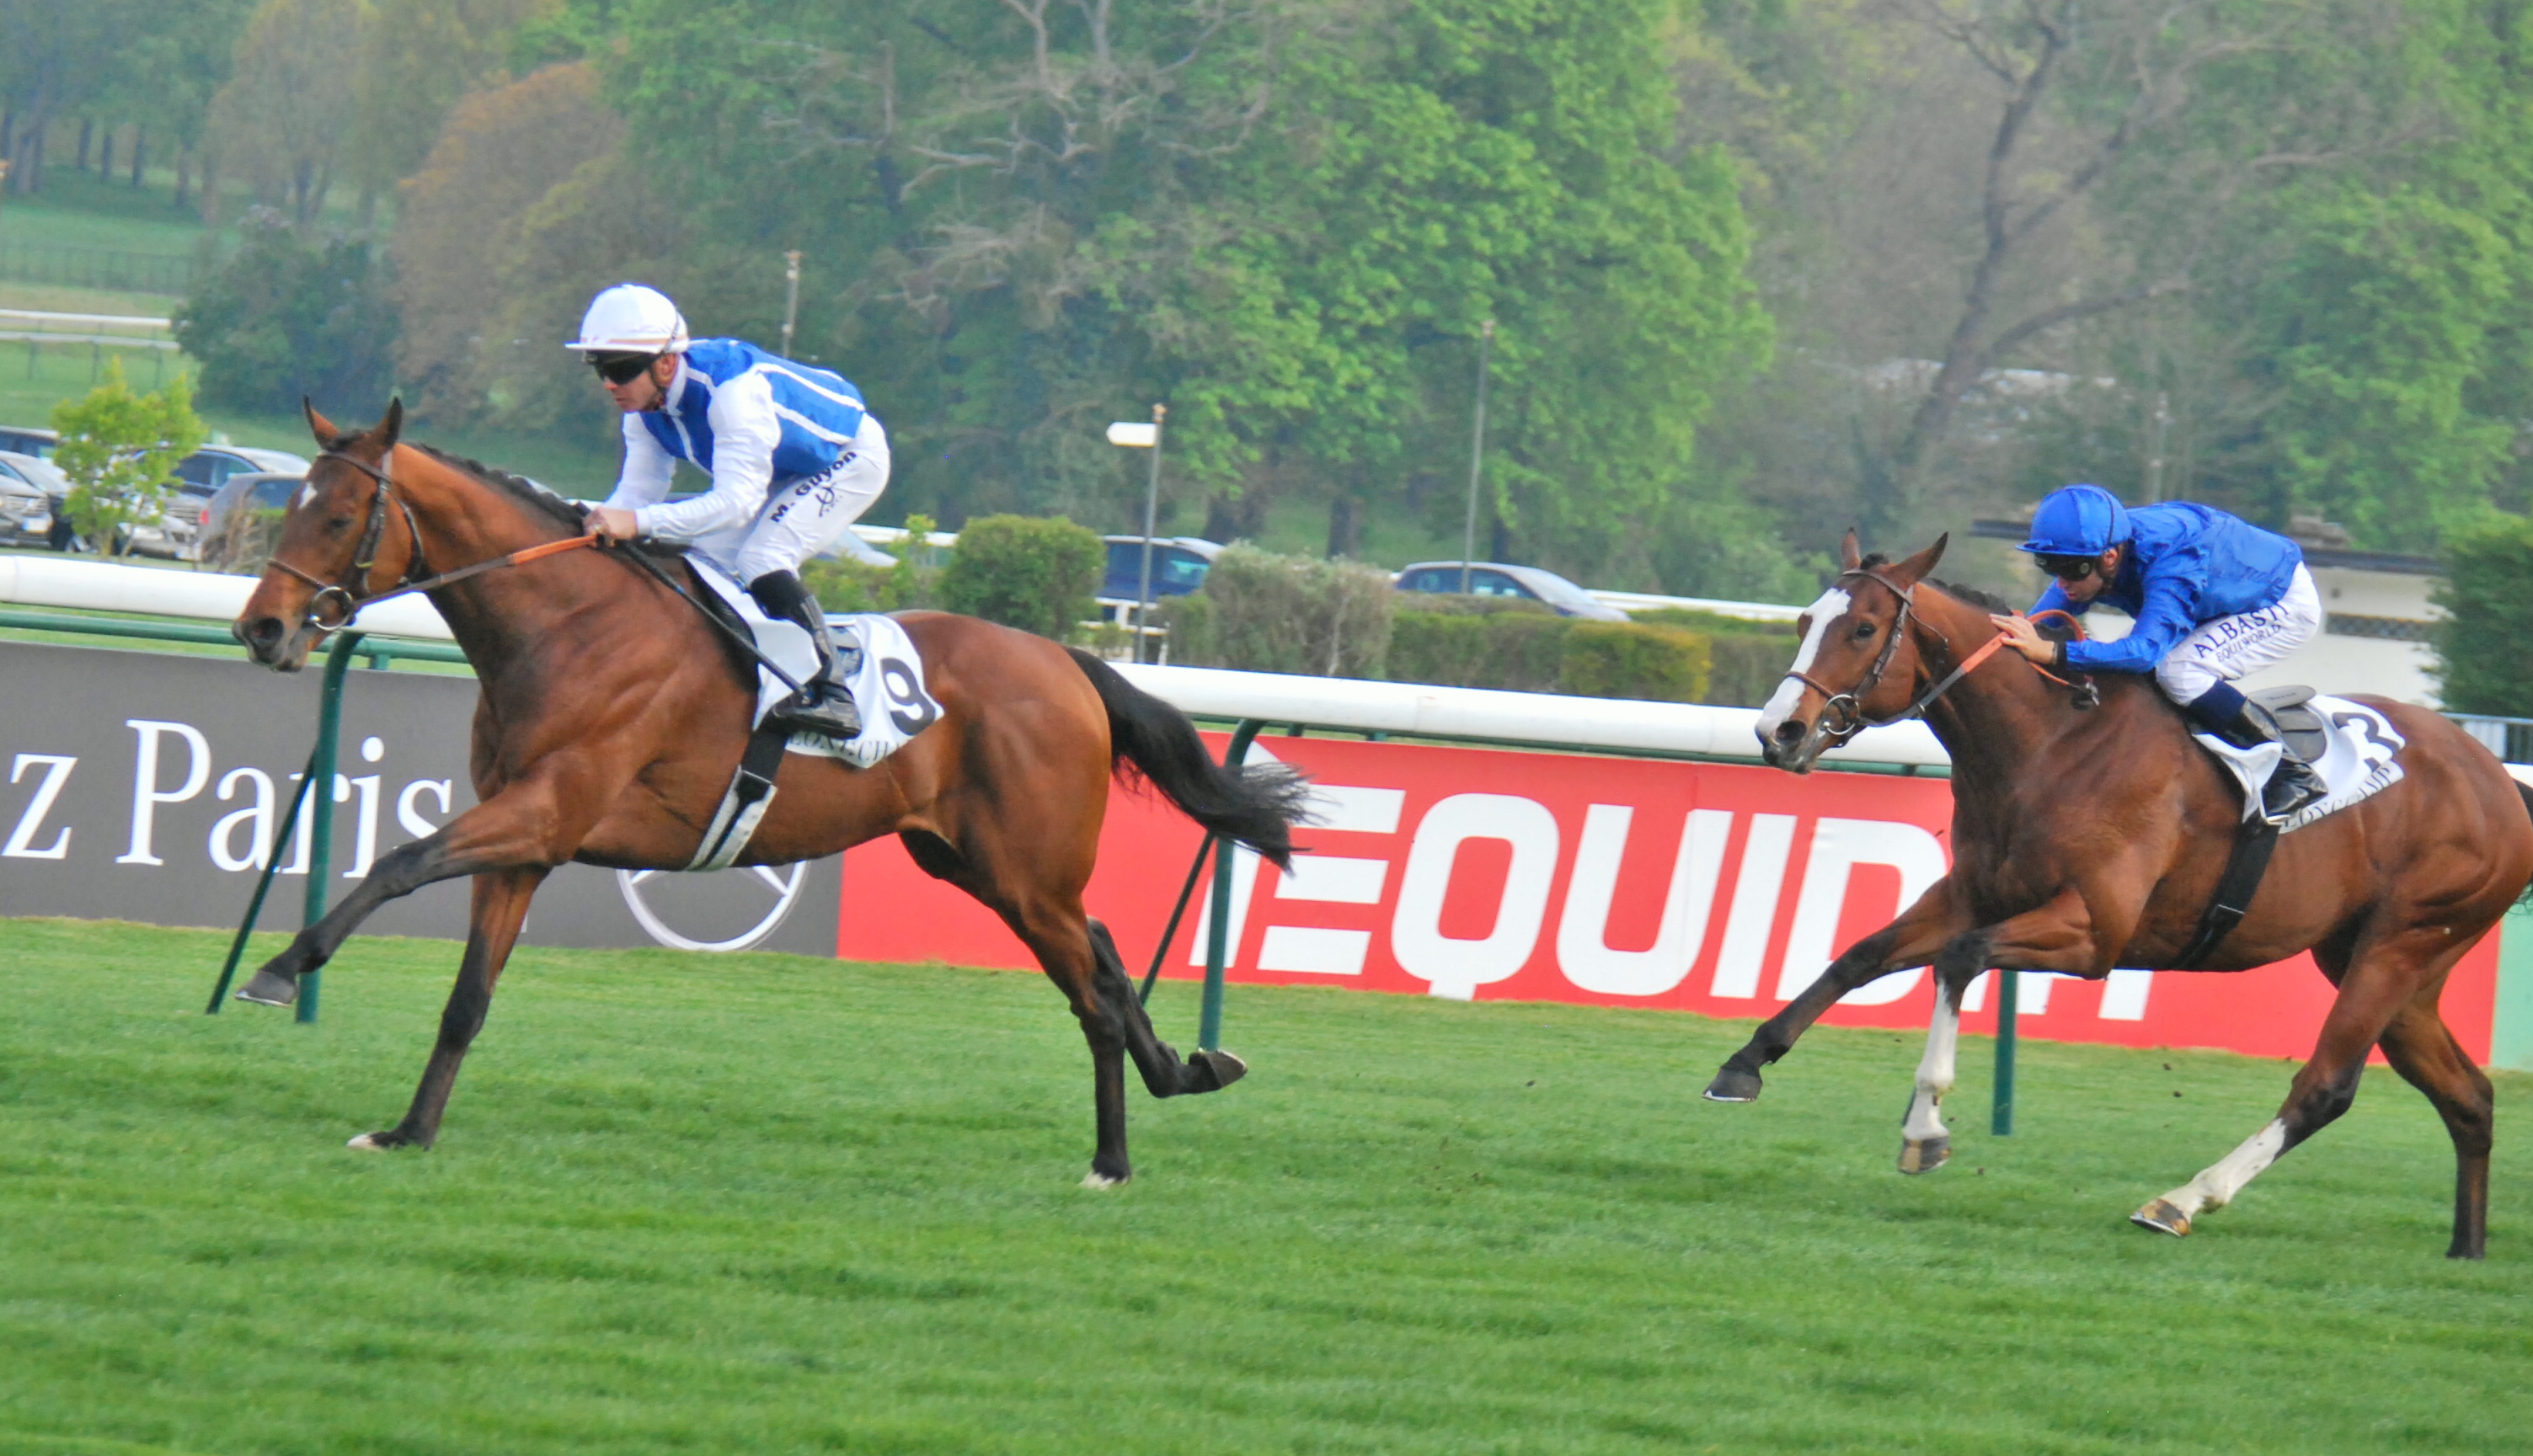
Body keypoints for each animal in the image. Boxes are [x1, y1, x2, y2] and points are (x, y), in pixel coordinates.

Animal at [230, 405, 1317, 1190]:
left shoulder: (544, 809)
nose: (262, 629)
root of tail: (1069, 660)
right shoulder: (527, 843)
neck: (568, 628)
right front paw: (408, 1131)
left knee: (1090, 989)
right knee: (1102, 951)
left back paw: (1111, 1161)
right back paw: (1186, 1068)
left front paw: (278, 969)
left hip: (1024, 870)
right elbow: (466, 999)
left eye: (338, 516)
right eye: (290, 505)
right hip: (978, 862)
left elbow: (397, 858)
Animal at [1712, 529, 2522, 1261]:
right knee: (2467, 1096)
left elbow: (1960, 958)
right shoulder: (1974, 892)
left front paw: (1925, 1127)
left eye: (1862, 627)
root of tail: (2503, 785)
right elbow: (1861, 955)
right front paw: (1743, 1064)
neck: (2048, 746)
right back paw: (2467, 1248)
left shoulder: (2094, 931)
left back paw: (2182, 1199)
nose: (1779, 731)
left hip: (2398, 945)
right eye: (1802, 621)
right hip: (2387, 964)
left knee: (2326, 1085)